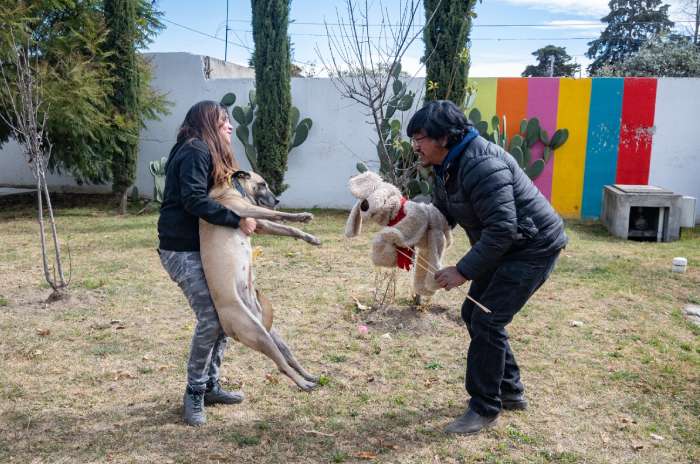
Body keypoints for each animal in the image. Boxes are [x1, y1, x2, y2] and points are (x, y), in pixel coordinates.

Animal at [200, 171, 320, 392]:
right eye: (263, 184)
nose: (277, 200)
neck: (230, 190)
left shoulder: (259, 223)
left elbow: (289, 228)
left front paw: (310, 237)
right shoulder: (247, 210)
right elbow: (280, 216)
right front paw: (302, 216)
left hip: (272, 335)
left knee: (289, 359)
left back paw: (308, 375)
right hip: (259, 335)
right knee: (282, 366)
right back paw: (304, 383)